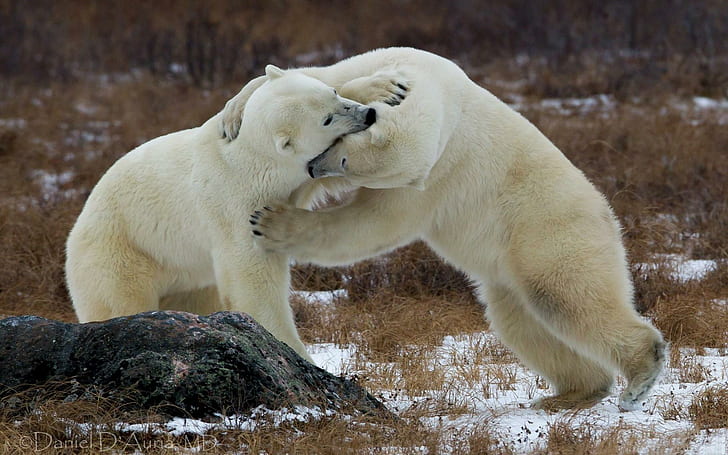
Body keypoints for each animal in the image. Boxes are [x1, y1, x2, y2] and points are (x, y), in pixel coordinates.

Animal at [66, 65, 392, 364]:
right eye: (326, 120)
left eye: (333, 94)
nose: (367, 115)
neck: (255, 159)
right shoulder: (238, 202)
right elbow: (252, 276)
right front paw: (293, 351)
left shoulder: (301, 177)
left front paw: (383, 87)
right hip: (121, 255)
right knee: (119, 301)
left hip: (187, 276)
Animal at [225, 47, 668, 414]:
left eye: (346, 159)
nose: (316, 169)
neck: (440, 88)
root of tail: (609, 214)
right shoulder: (392, 62)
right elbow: (322, 74)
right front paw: (234, 113)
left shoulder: (435, 172)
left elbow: (374, 223)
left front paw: (271, 223)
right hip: (516, 262)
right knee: (523, 322)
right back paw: (570, 393)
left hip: (550, 231)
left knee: (567, 297)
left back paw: (638, 377)